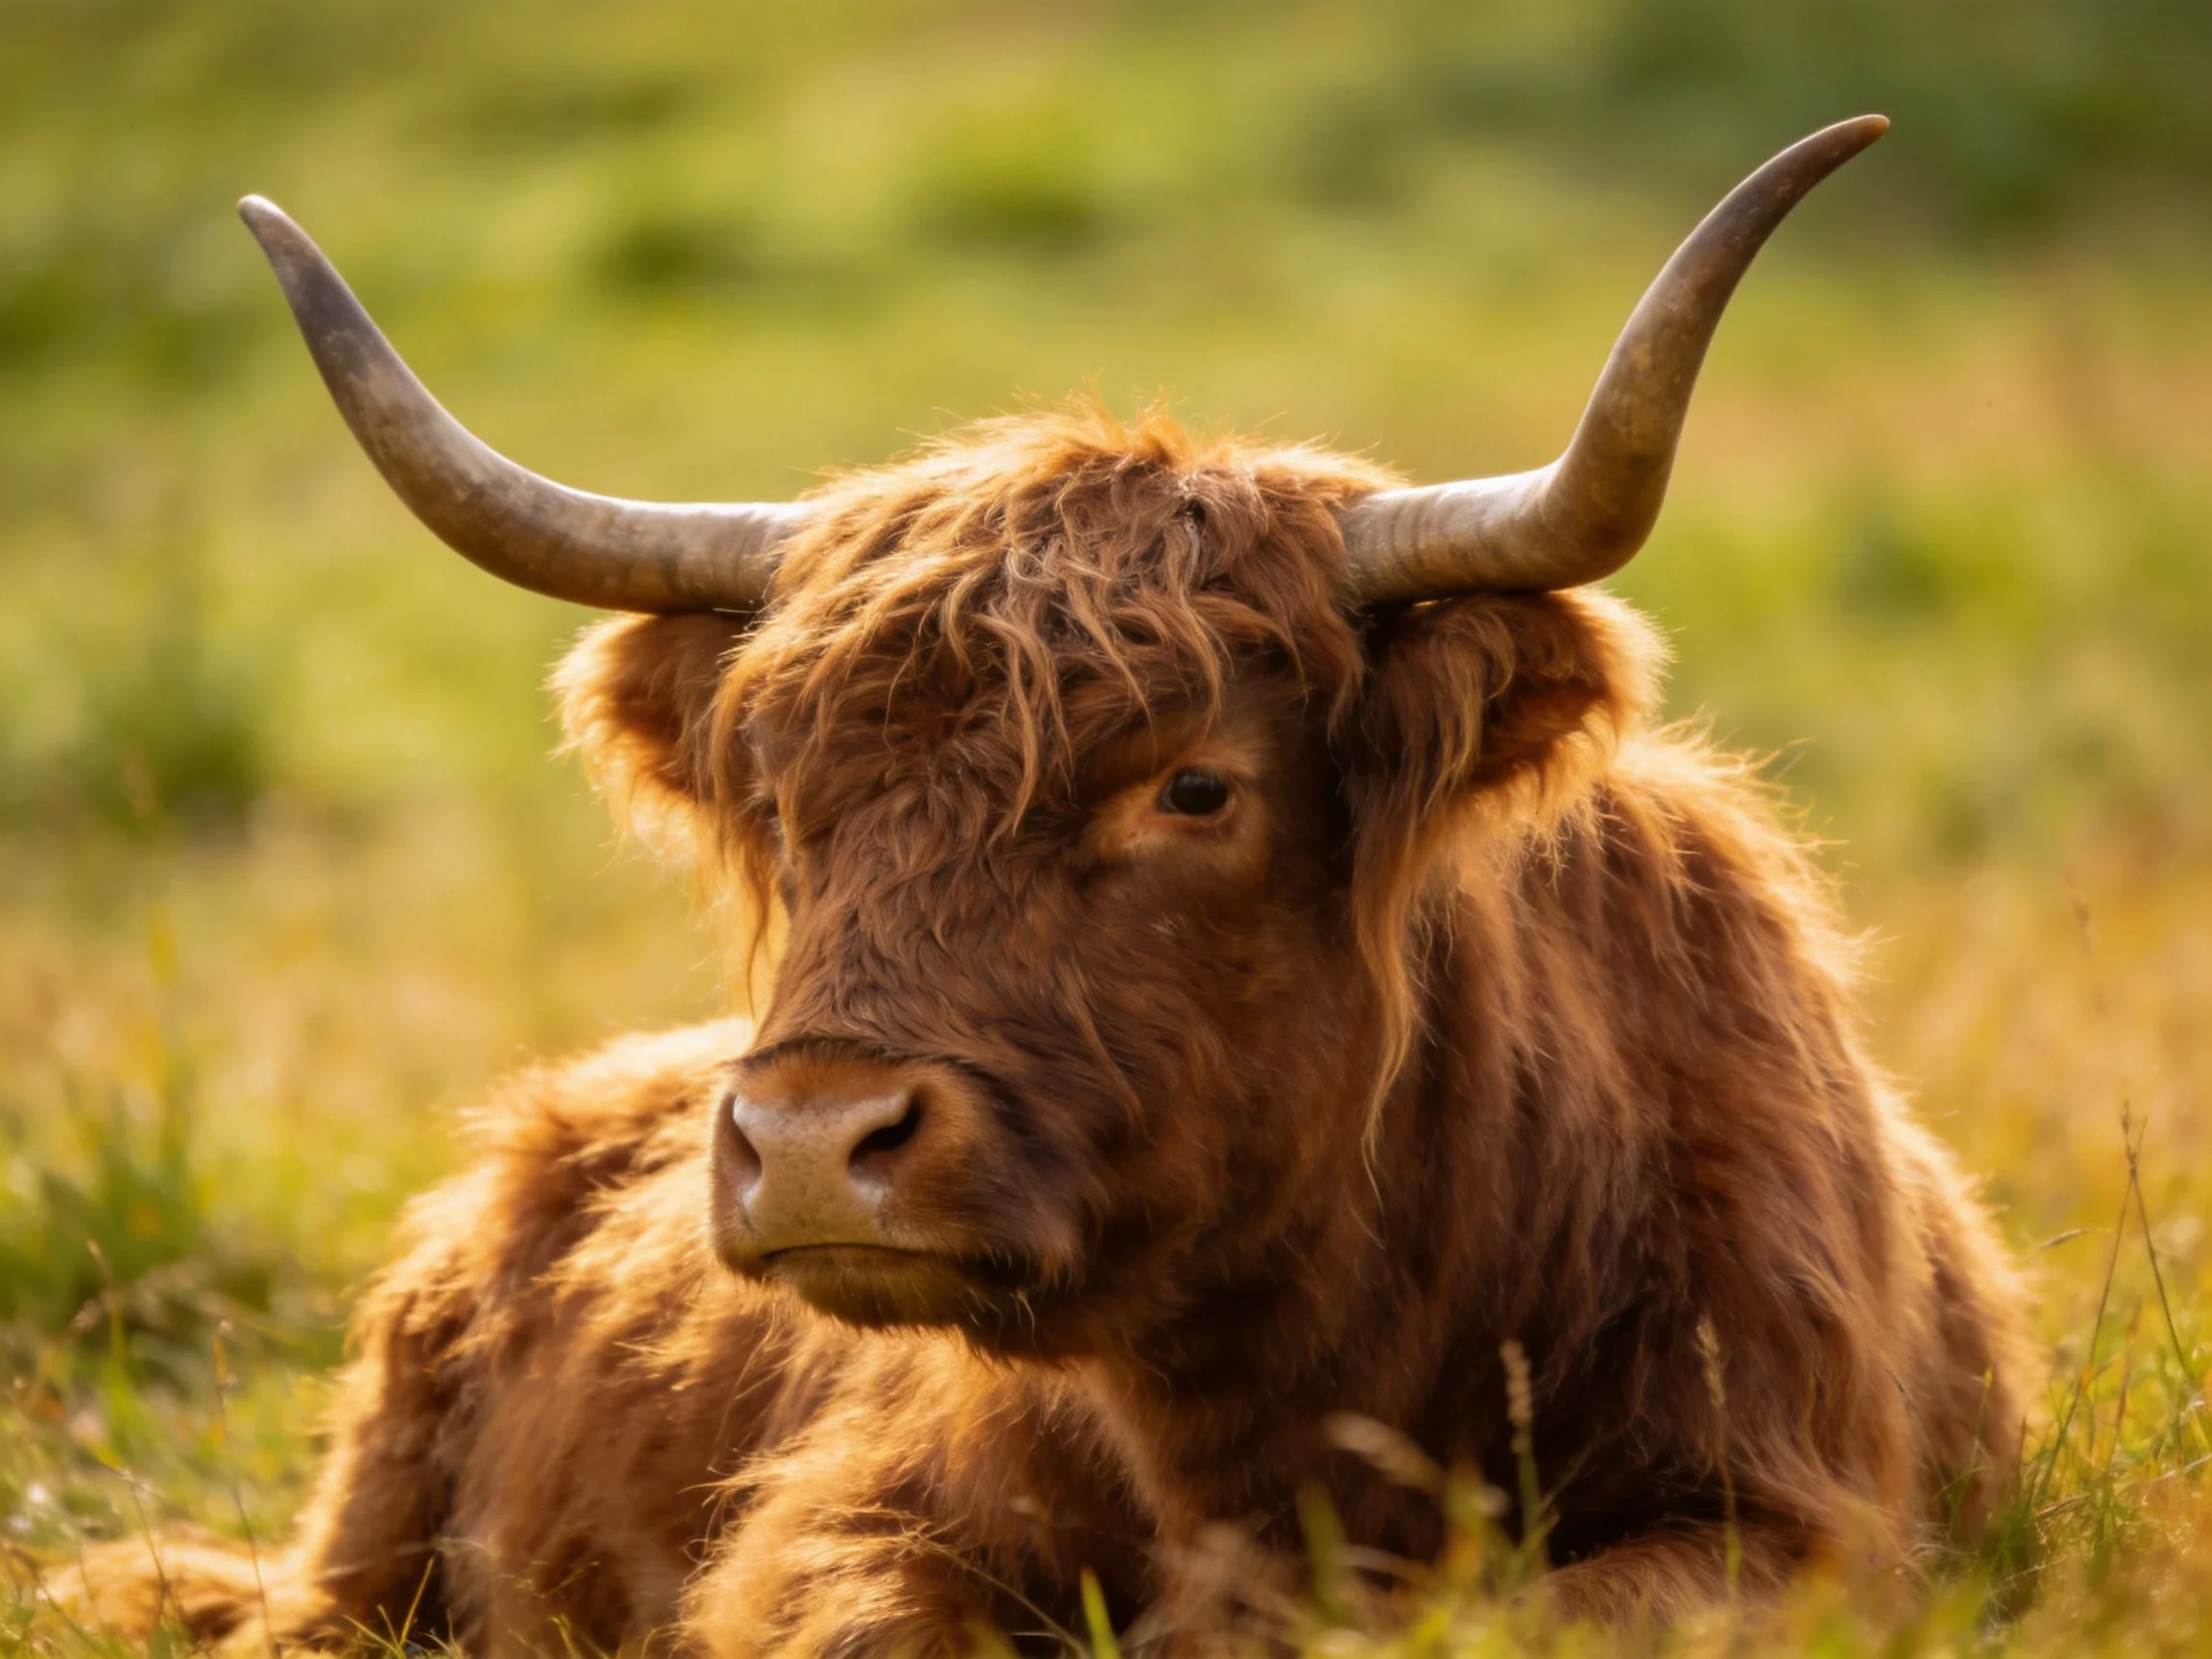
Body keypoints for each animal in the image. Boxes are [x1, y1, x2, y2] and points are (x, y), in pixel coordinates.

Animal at [55, 116, 2031, 1655]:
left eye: (1195, 783)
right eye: (784, 804)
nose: (808, 1140)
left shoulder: (1784, 1519)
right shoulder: (851, 1525)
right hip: (357, 1548)